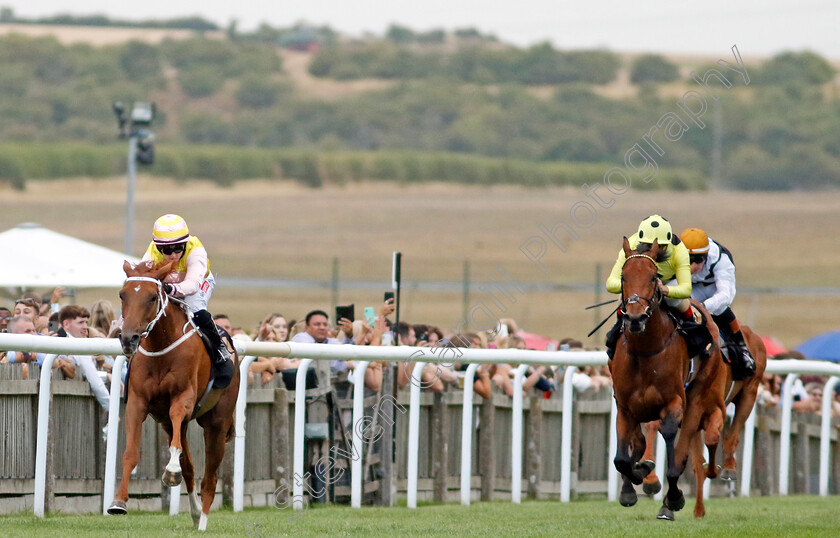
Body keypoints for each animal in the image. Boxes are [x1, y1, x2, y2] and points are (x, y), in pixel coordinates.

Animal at [107, 258, 240, 528]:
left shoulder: (183, 397)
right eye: (122, 294)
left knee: (210, 478)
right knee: (189, 467)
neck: (161, 346)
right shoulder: (137, 402)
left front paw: (170, 469)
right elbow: (130, 453)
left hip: (217, 422)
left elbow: (177, 420)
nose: (128, 339)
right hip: (169, 424)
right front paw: (119, 501)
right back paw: (196, 512)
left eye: (151, 297)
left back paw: (203, 522)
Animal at [612, 237, 728, 516]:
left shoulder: (674, 402)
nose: (635, 318)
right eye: (623, 276)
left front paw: (673, 497)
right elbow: (622, 458)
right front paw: (633, 482)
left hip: (698, 396)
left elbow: (672, 443)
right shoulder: (624, 406)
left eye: (654, 276)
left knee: (686, 444)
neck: (644, 351)